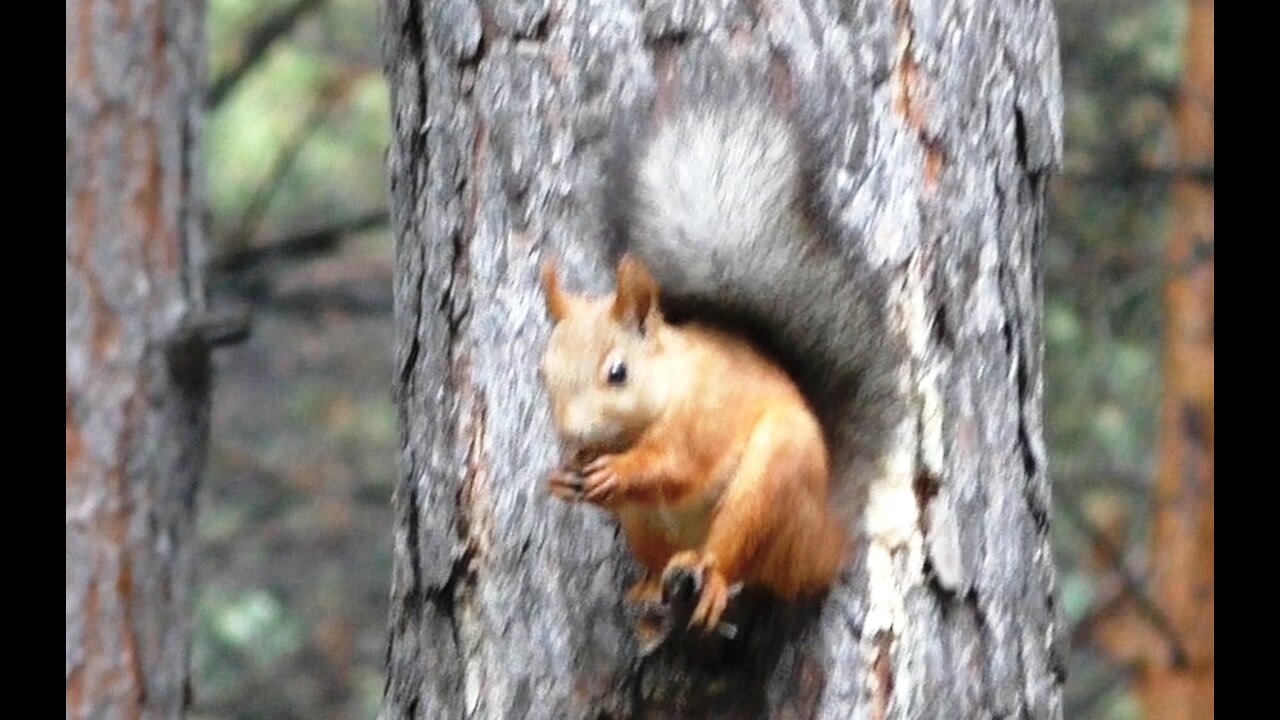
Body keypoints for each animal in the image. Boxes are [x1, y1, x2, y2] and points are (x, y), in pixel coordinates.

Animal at [540, 82, 890, 645]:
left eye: (618, 373)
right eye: (544, 373)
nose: (572, 434)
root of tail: (822, 541)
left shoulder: (704, 418)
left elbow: (676, 466)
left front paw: (618, 471)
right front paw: (564, 477)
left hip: (768, 487)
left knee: (732, 557)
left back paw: (710, 580)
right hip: (647, 529)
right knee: (660, 562)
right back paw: (649, 591)